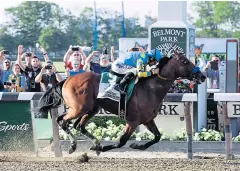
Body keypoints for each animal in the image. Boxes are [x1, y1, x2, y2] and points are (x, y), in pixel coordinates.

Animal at [35, 51, 206, 154]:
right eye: (185, 62)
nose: (203, 76)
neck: (151, 88)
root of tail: (68, 79)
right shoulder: (133, 120)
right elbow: (122, 141)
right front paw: (105, 148)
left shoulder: (148, 120)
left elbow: (157, 136)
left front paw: (138, 145)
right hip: (79, 108)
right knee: (64, 121)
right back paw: (74, 146)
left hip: (90, 108)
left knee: (77, 125)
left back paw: (94, 143)